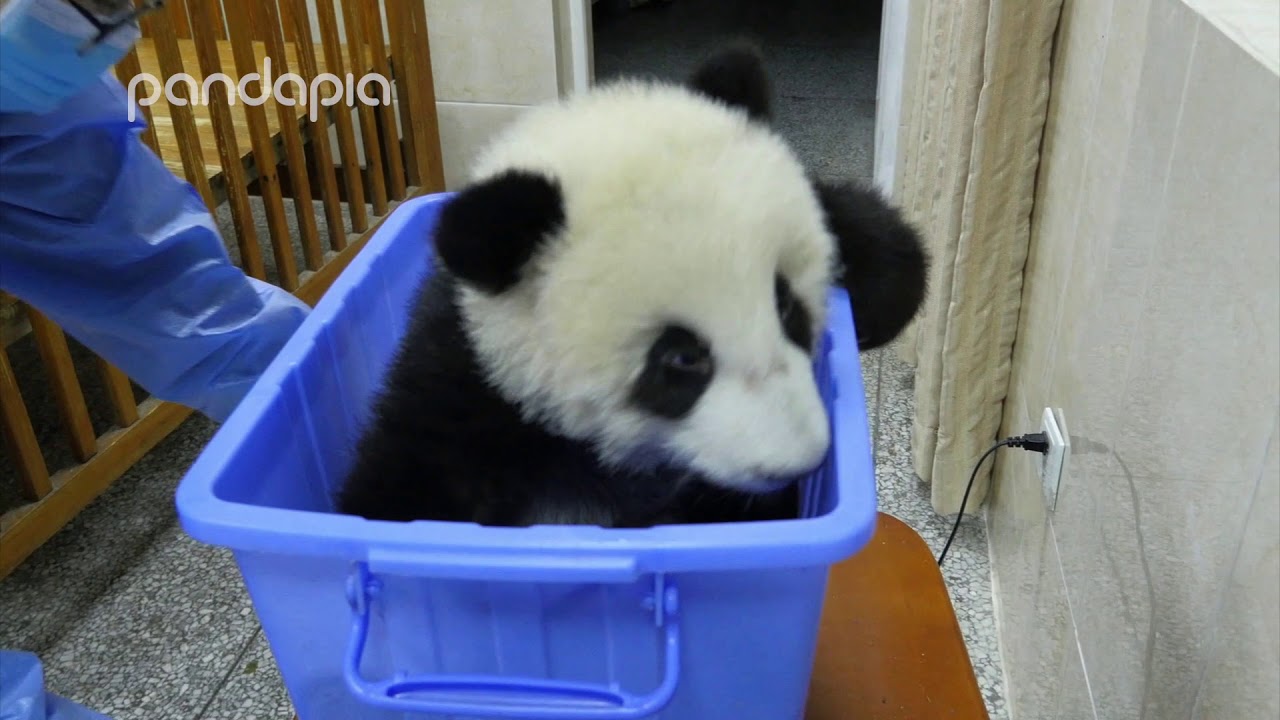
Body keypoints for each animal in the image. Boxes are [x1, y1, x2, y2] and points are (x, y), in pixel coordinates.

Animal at [334, 45, 927, 528]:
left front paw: (888, 286)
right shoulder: (465, 391)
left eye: (786, 306)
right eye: (682, 358)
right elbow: (398, 487)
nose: (800, 459)